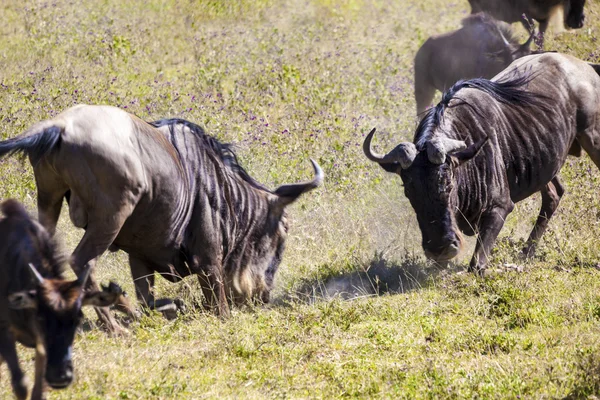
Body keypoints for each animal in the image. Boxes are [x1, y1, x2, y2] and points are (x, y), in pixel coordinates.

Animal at [0, 199, 123, 400]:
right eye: (41, 317)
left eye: (78, 319)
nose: (60, 377)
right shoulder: (5, 331)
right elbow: (21, 384)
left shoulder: (42, 346)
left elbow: (38, 391)